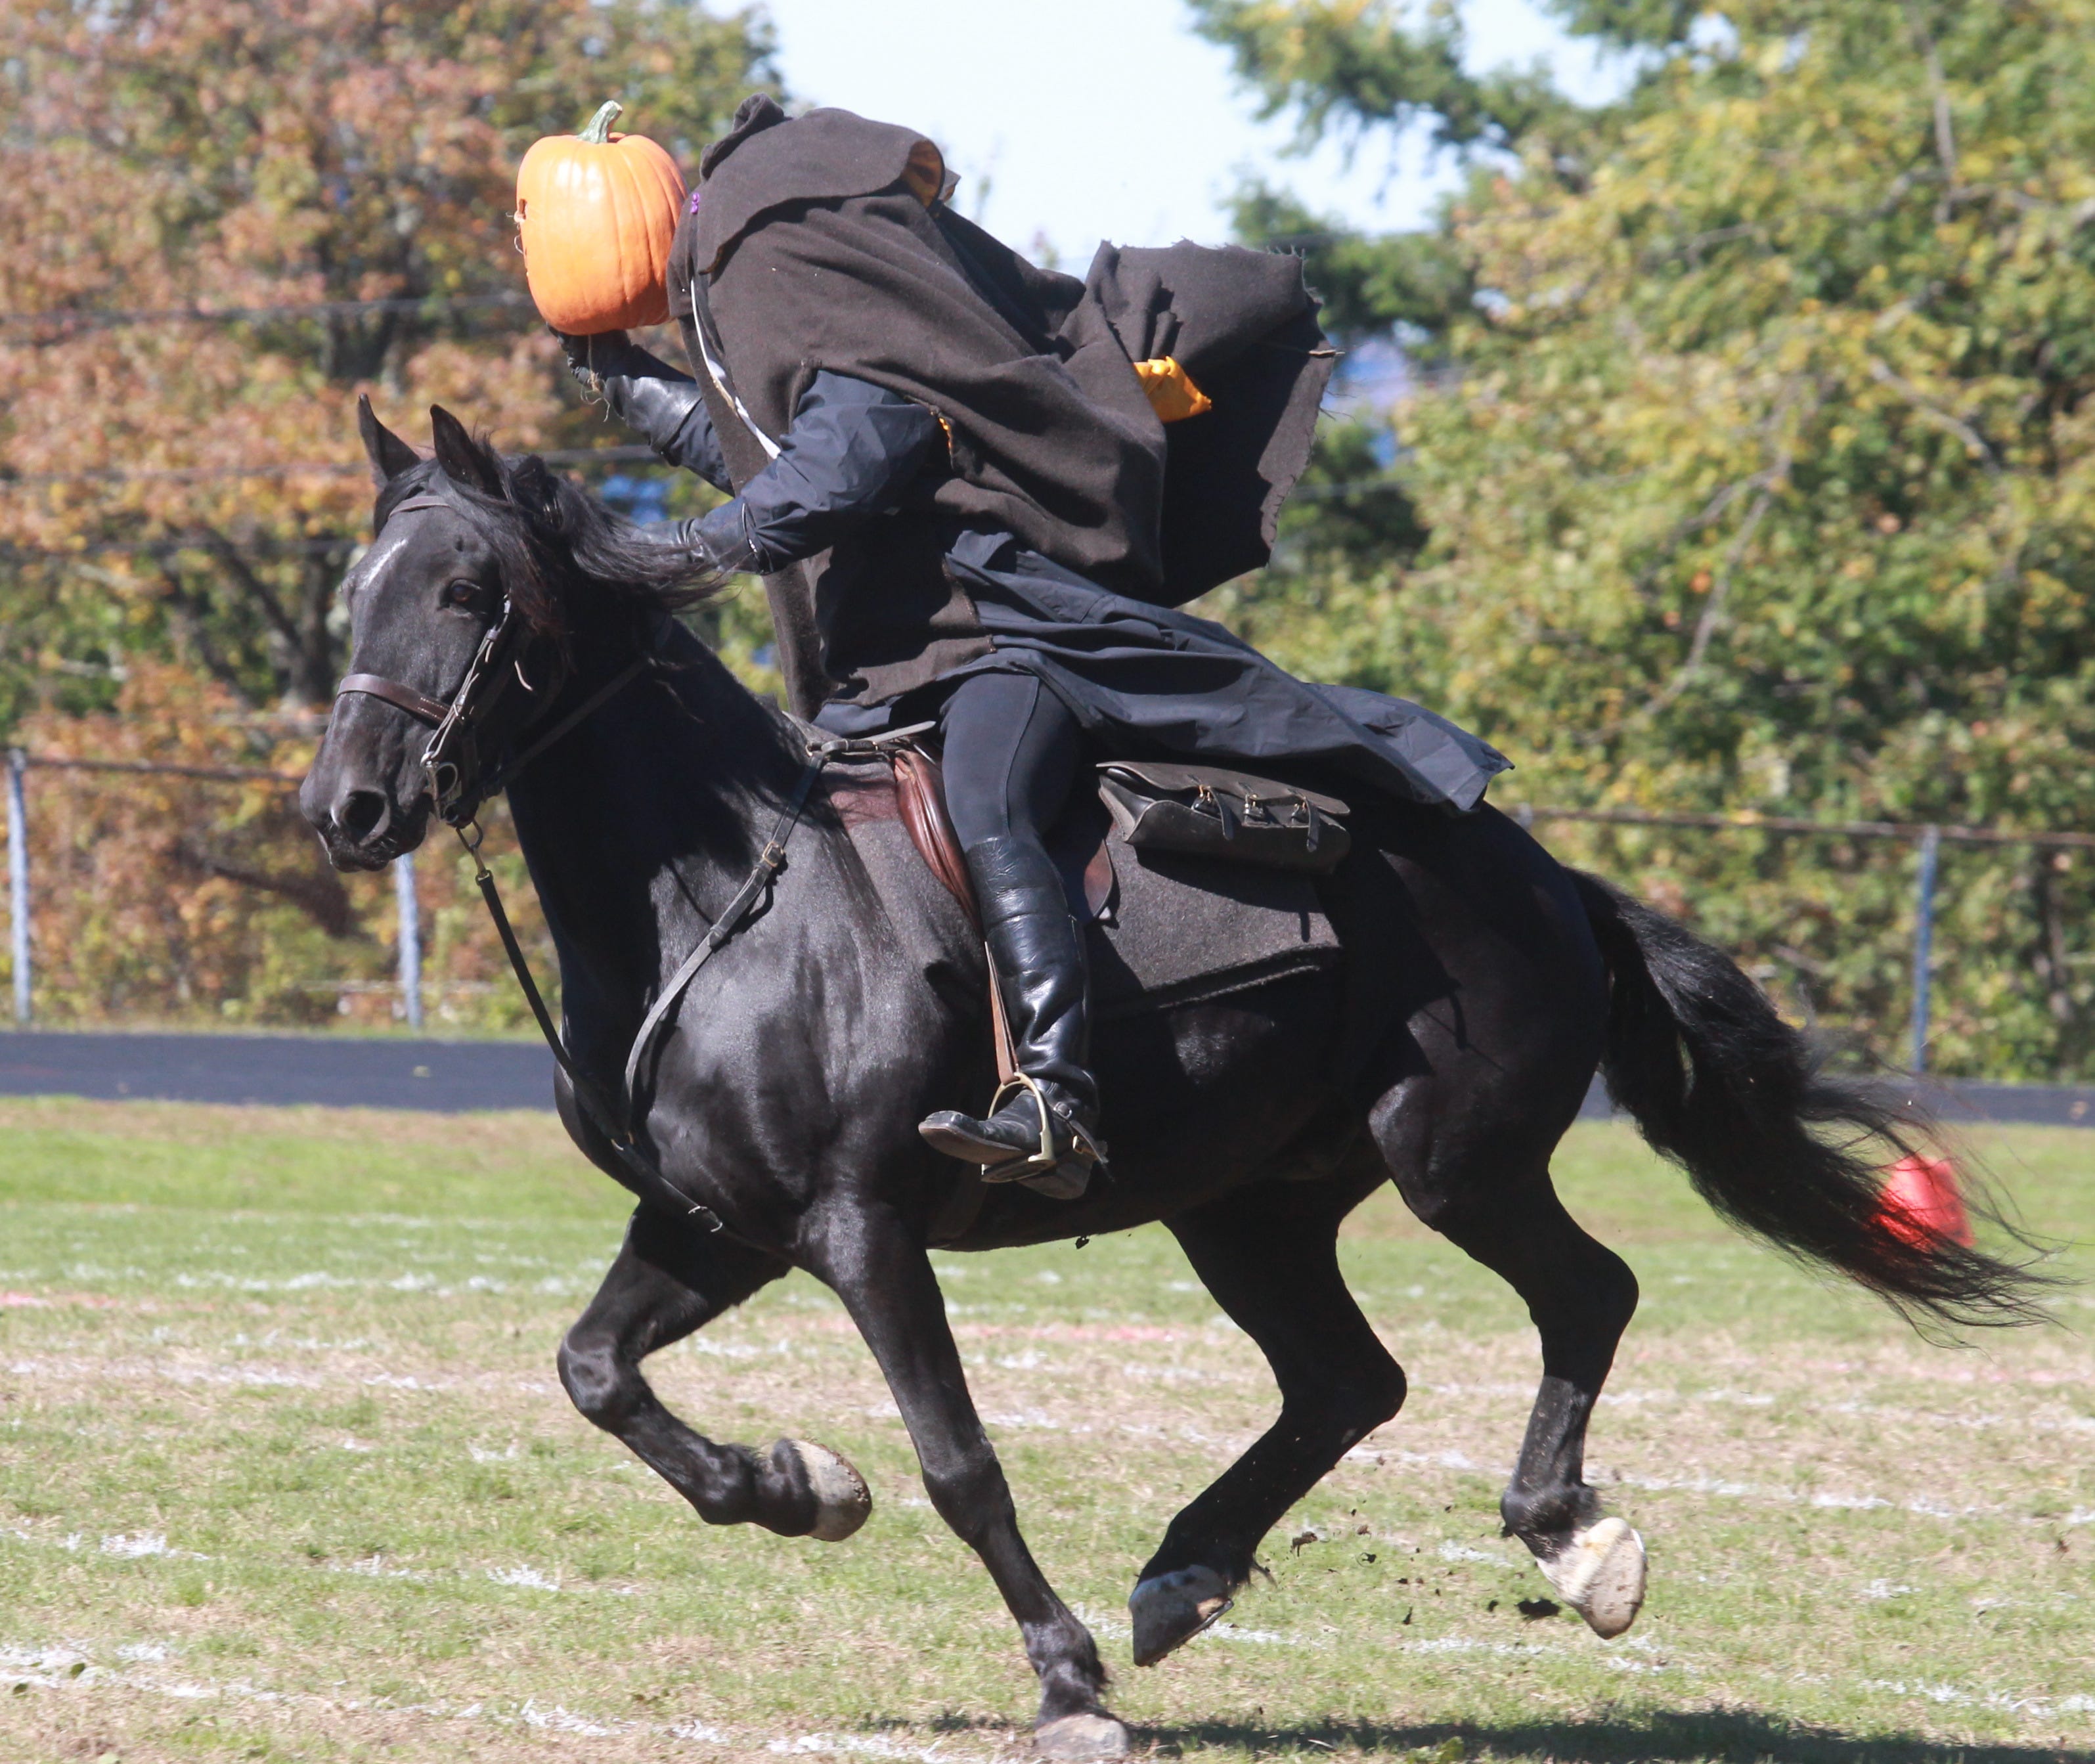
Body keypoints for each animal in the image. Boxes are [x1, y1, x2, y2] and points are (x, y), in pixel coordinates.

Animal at [303, 402, 2036, 1759]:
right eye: (353, 592)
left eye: (466, 589)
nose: (348, 805)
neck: (728, 894)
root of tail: (1544, 875)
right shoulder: (717, 1224)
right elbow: (597, 1372)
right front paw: (798, 1483)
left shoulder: (861, 1225)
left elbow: (957, 1459)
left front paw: (1063, 1681)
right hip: (1249, 1204)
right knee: (1347, 1378)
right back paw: (1186, 1568)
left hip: (1452, 1156)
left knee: (1583, 1293)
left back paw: (1569, 1534)